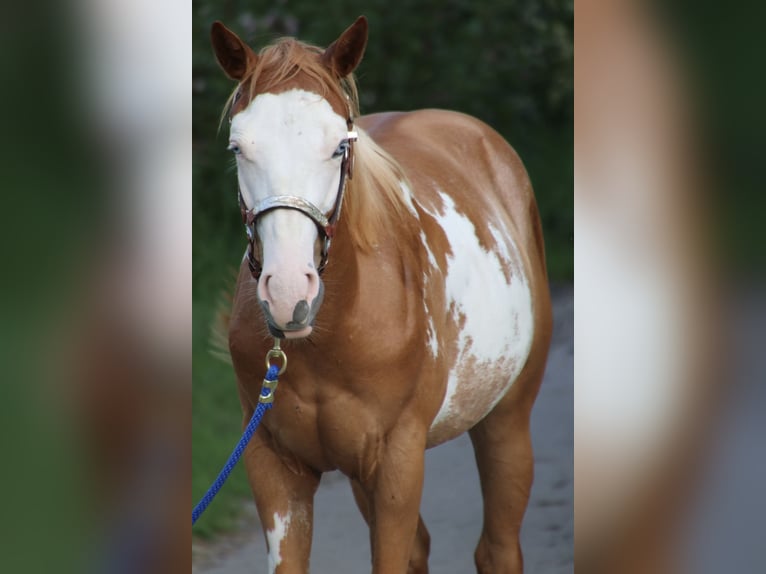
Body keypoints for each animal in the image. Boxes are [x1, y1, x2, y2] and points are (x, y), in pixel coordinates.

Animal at [210, 15, 552, 572]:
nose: (288, 293)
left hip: (507, 421)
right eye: (239, 147)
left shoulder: (398, 461)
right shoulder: (273, 466)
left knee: (498, 548)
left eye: (338, 145)